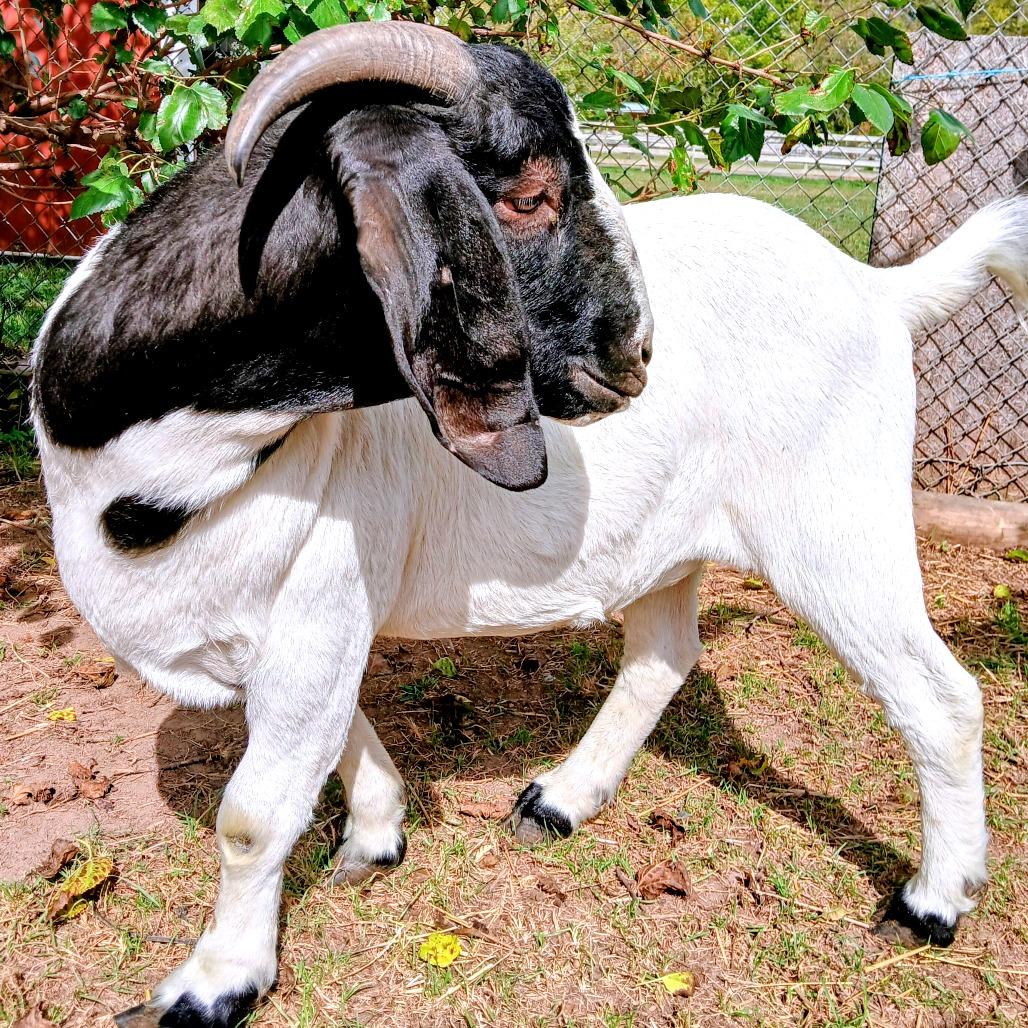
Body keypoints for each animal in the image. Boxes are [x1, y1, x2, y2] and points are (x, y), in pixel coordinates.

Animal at [32, 21, 1028, 1028]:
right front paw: (377, 833)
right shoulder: (300, 631)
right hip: (672, 543)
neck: (150, 487)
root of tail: (877, 289)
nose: (638, 351)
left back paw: (932, 903)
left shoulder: (316, 608)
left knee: (941, 700)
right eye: (529, 196)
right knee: (664, 654)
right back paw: (562, 799)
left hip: (835, 523)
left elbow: (252, 814)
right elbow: (338, 730)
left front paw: (214, 984)